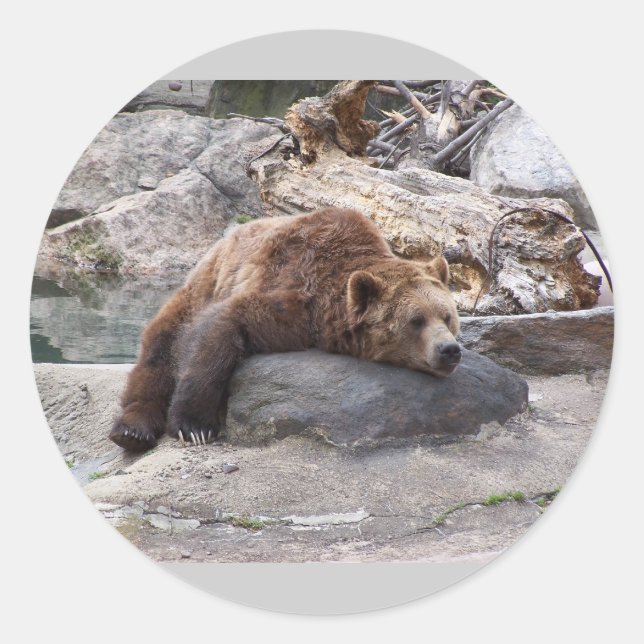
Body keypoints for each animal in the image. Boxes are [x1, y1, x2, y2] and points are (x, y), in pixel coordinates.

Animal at [109, 207, 461, 451]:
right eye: (416, 320)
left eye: (447, 316)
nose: (450, 350)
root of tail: (219, 243)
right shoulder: (294, 297)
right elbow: (220, 326)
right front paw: (194, 426)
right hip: (199, 289)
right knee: (160, 349)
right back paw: (132, 429)